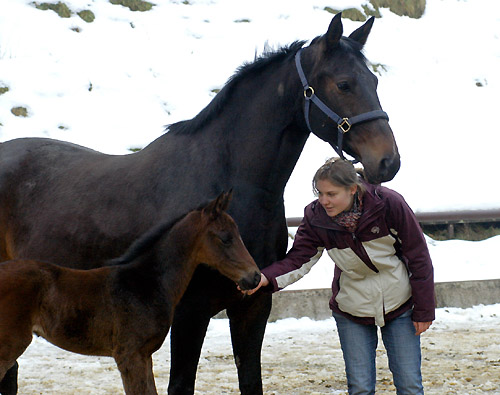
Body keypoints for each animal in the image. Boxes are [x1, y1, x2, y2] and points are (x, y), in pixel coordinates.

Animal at [0, 193, 260, 395]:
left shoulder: (144, 356)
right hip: (9, 344)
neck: (147, 283)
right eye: (225, 238)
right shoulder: (129, 356)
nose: (255, 277)